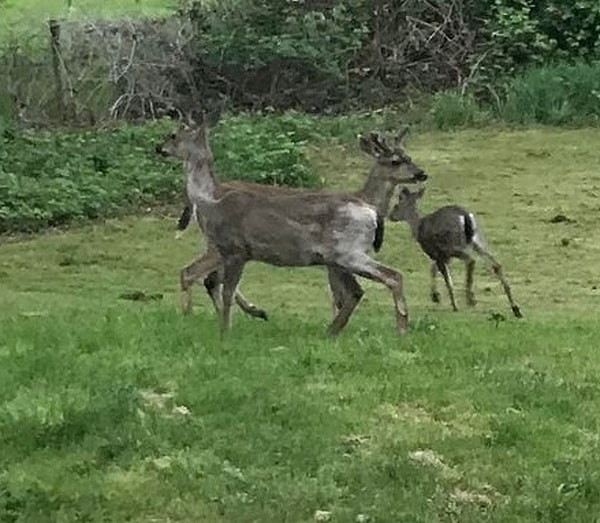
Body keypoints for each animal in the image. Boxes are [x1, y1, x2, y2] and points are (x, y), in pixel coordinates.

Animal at [157, 119, 420, 336]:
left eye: (172, 135)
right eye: (397, 160)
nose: (422, 173)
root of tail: (373, 212)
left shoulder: (235, 250)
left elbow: (226, 290)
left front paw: (224, 331)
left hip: (345, 252)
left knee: (388, 278)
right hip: (341, 255)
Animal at [390, 188, 520, 320]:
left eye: (396, 206)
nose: (391, 216)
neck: (418, 227)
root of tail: (465, 216)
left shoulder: (439, 253)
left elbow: (447, 279)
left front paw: (452, 304)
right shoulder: (443, 256)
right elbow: (433, 269)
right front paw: (435, 296)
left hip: (455, 243)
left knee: (471, 260)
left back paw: (470, 299)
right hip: (478, 239)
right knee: (496, 264)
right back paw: (515, 308)